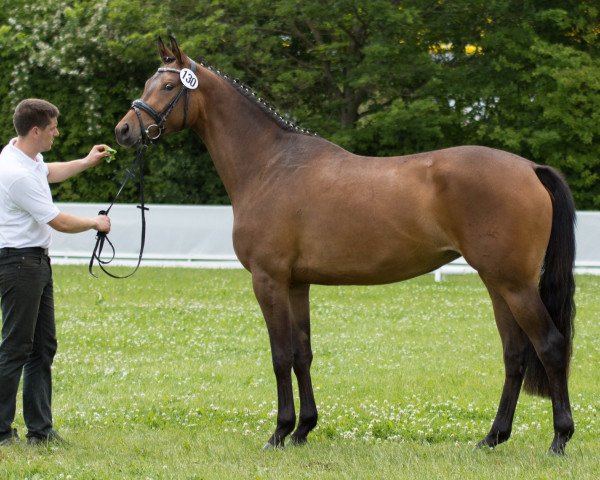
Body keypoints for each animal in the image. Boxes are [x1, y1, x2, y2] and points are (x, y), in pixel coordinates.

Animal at [113, 36, 576, 454]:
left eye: (168, 86)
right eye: (149, 82)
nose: (124, 130)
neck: (269, 165)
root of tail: (530, 168)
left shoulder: (268, 280)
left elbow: (280, 355)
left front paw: (279, 433)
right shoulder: (296, 284)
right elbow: (302, 353)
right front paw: (303, 430)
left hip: (515, 286)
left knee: (550, 347)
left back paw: (559, 439)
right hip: (498, 284)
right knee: (515, 355)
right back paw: (492, 437)